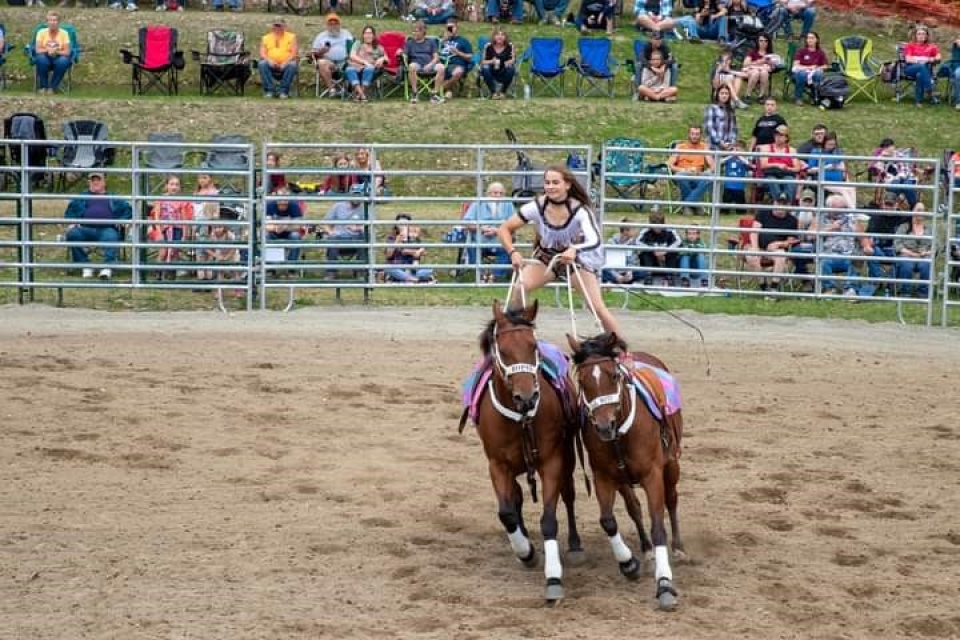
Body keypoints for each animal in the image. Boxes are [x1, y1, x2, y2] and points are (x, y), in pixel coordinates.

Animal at [460, 300, 584, 604]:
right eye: (502, 350)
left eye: (533, 346)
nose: (527, 397)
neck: (521, 418)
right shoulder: (497, 465)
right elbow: (506, 512)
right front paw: (525, 552)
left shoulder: (552, 461)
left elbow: (549, 520)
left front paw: (553, 577)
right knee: (515, 499)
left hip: (568, 457)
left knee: (569, 495)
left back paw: (575, 545)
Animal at [568, 332, 688, 612]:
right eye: (582, 381)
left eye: (614, 375)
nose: (605, 426)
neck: (620, 436)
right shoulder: (604, 476)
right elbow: (608, 520)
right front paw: (629, 563)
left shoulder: (653, 476)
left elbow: (658, 526)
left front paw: (664, 584)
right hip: (623, 481)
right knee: (634, 508)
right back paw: (645, 549)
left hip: (671, 466)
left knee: (672, 500)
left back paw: (678, 547)